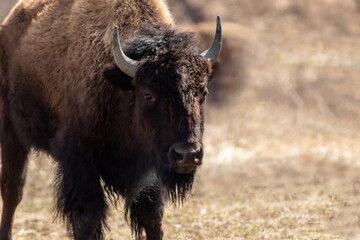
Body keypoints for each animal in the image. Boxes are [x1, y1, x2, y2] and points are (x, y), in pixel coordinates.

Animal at [0, 0, 219, 239]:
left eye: (203, 92)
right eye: (148, 94)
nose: (187, 155)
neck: (120, 85)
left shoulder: (149, 166)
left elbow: (152, 214)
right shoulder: (79, 159)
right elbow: (86, 218)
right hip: (11, 132)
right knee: (13, 189)